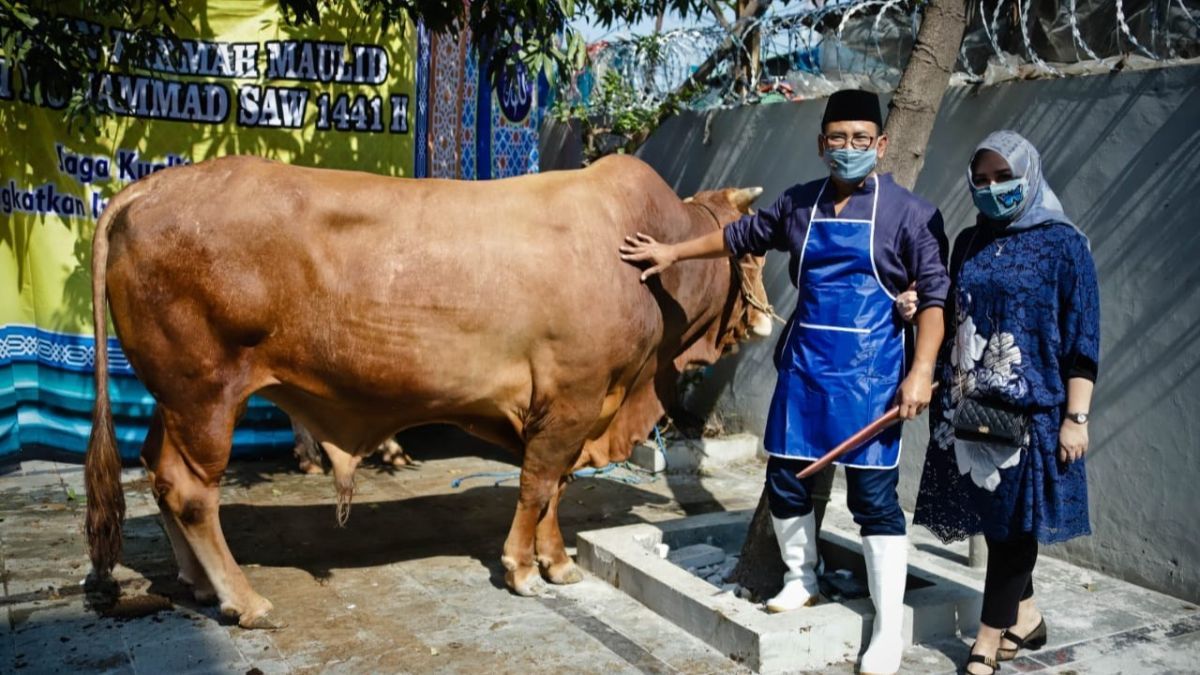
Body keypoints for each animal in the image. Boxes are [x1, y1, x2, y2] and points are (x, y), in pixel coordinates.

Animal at [87, 153, 777, 624]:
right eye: (755, 250)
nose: (767, 318)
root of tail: (150, 186)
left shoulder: (578, 410)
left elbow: (555, 490)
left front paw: (558, 563)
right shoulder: (571, 400)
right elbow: (537, 487)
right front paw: (523, 569)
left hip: (172, 396)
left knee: (158, 471)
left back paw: (200, 583)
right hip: (206, 391)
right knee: (191, 490)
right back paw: (243, 598)